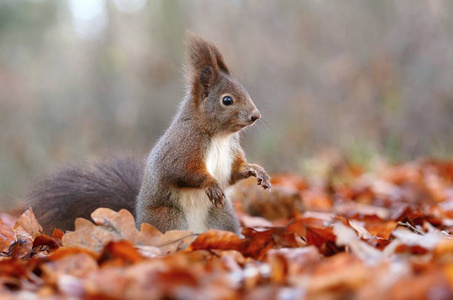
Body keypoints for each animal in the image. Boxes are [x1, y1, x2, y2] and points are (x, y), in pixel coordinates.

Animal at [27, 32, 268, 234]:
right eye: (227, 100)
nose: (256, 116)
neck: (219, 136)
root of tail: (137, 221)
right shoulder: (183, 146)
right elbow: (182, 170)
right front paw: (211, 183)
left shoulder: (230, 152)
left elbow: (233, 172)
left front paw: (255, 170)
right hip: (168, 218)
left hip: (222, 216)